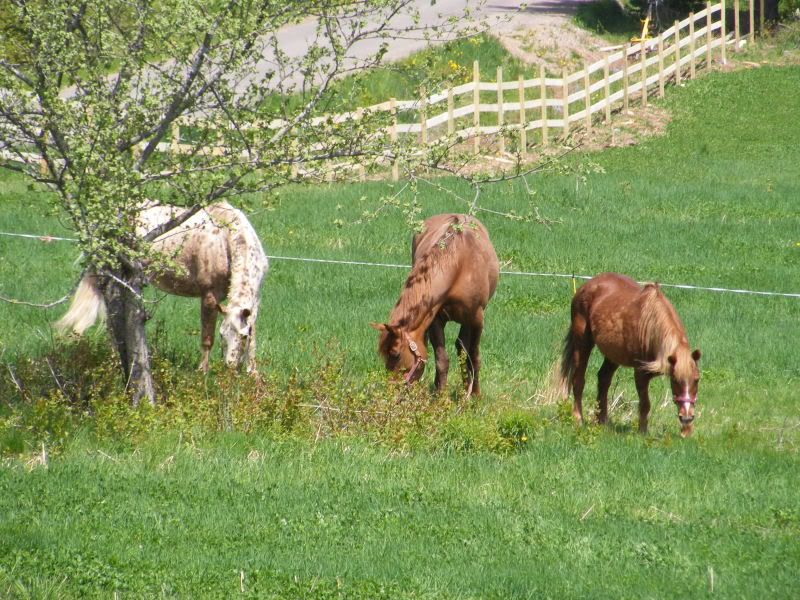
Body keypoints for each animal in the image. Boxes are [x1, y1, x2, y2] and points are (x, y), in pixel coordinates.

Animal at [57, 202, 268, 370]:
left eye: (242, 336)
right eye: (223, 335)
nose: (230, 367)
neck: (225, 239)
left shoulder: (255, 301)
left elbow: (254, 338)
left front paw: (253, 375)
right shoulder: (209, 296)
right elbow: (207, 339)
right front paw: (203, 374)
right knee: (111, 322)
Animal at [370, 213, 496, 396]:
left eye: (395, 354)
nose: (391, 391)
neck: (460, 265)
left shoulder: (476, 319)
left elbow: (473, 356)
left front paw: (475, 396)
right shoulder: (436, 319)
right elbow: (441, 360)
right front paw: (440, 397)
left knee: (462, 348)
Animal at [564, 272, 700, 436]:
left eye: (697, 380)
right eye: (675, 380)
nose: (686, 417)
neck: (651, 329)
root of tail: (587, 285)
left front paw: (686, 431)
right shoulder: (640, 374)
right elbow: (645, 404)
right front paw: (642, 432)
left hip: (613, 354)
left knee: (603, 379)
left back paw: (602, 421)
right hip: (583, 343)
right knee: (578, 381)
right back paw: (578, 419)